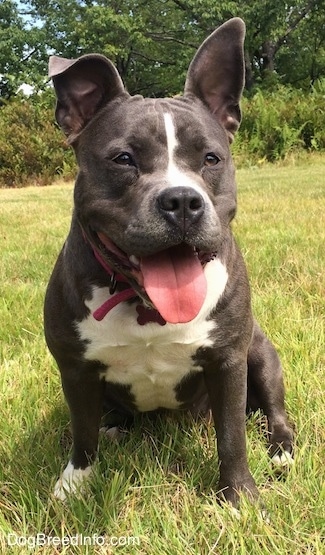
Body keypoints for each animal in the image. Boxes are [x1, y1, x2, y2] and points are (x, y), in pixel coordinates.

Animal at [44, 17, 292, 506]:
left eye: (212, 158)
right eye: (123, 158)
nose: (181, 201)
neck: (146, 306)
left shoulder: (228, 361)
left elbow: (231, 435)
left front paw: (240, 498)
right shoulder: (76, 369)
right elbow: (82, 433)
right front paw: (75, 484)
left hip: (260, 352)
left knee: (274, 410)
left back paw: (282, 450)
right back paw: (115, 427)